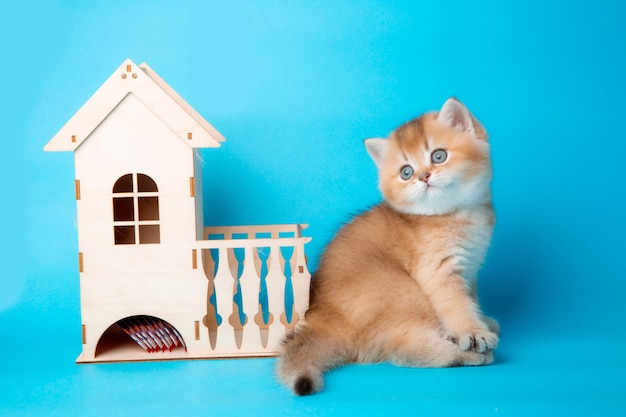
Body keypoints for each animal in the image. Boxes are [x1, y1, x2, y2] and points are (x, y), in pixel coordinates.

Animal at [276, 96, 498, 394]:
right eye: (406, 172)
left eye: (438, 156)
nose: (423, 177)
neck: (454, 214)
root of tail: (325, 318)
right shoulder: (438, 272)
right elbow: (457, 305)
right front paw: (472, 333)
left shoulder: (470, 270)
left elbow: (471, 299)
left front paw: (482, 322)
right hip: (403, 292)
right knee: (403, 349)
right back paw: (467, 355)